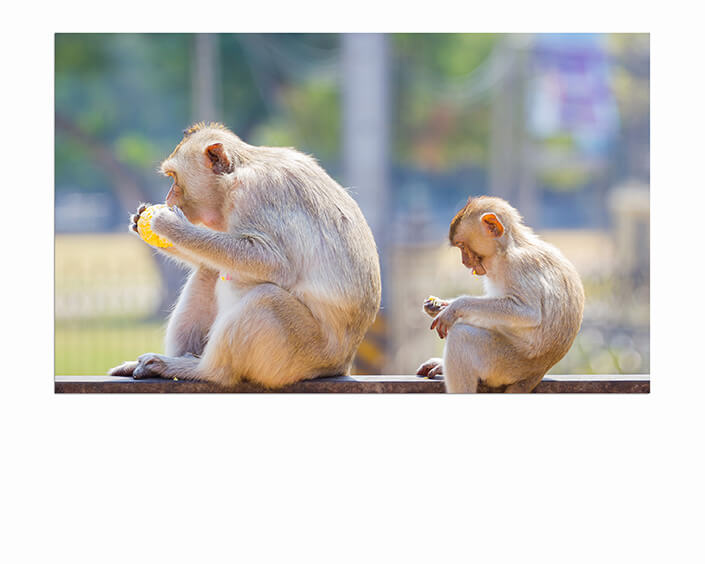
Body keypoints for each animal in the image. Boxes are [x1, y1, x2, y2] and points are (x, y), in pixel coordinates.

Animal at [109, 122, 382, 388]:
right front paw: (140, 220)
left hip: (303, 354)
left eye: (174, 177)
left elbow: (273, 262)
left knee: (266, 298)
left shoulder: (255, 192)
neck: (237, 173)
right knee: (209, 271)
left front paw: (170, 225)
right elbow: (211, 258)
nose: (168, 198)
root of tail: (342, 363)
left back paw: (201, 370)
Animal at [416, 196, 584, 393]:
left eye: (462, 246)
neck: (506, 249)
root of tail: (538, 372)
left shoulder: (517, 265)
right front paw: (439, 305)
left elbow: (528, 312)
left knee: (462, 337)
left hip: (507, 364)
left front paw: (455, 307)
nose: (464, 261)